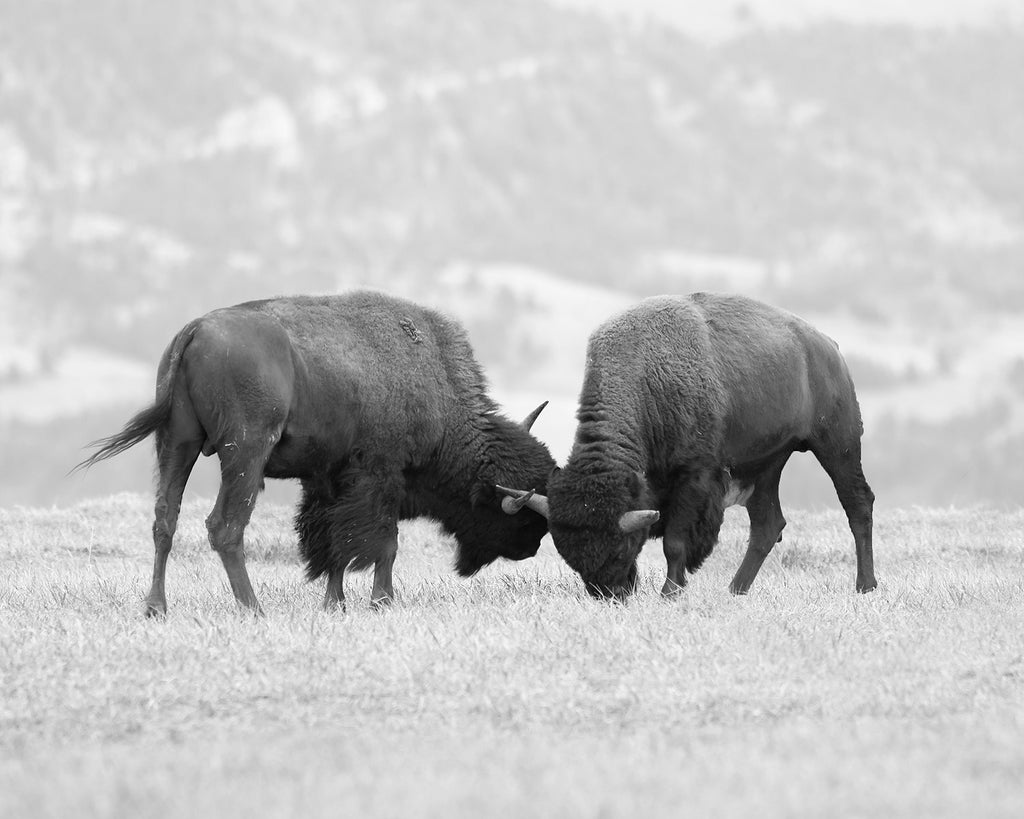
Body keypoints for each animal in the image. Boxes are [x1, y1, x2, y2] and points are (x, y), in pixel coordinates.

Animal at [77, 291, 555, 614]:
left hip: (178, 443)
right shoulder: (380, 475)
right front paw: (381, 601)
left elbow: (330, 543)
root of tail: (193, 330)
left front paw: (335, 604)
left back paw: (156, 608)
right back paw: (254, 609)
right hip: (245, 450)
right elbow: (384, 542)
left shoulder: (326, 478)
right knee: (225, 526)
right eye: (512, 514)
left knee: (165, 518)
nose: (529, 548)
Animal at [499, 293, 876, 599]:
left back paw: (865, 586)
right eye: (570, 557)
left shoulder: (694, 477)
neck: (647, 377)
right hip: (766, 466)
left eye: (619, 548)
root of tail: (828, 346)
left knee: (858, 504)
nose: (611, 594)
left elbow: (675, 542)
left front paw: (670, 592)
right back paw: (734, 590)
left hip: (838, 446)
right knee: (767, 526)